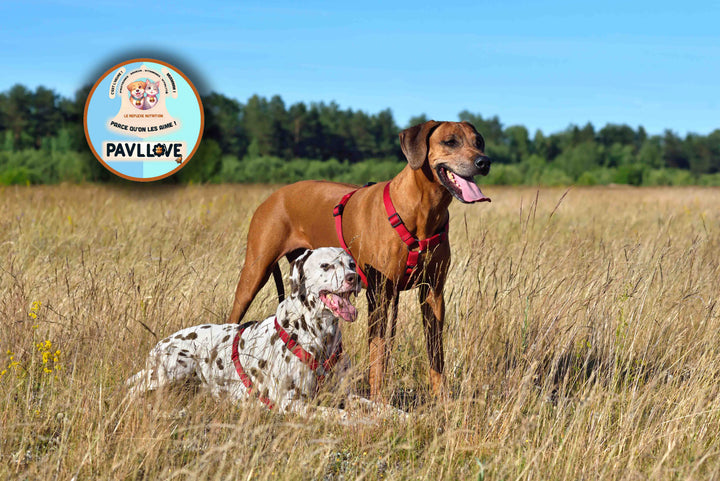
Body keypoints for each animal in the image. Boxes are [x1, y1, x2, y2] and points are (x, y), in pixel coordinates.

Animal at [126, 248, 362, 412]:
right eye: (326, 265)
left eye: (352, 264)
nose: (354, 277)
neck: (321, 336)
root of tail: (156, 349)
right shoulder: (291, 403)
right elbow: (343, 416)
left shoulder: (345, 394)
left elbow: (367, 406)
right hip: (178, 366)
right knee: (132, 394)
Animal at [228, 120, 492, 398]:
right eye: (450, 141)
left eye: (479, 142)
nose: (484, 162)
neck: (422, 213)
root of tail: (273, 196)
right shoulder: (378, 295)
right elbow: (378, 353)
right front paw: (378, 399)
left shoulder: (433, 292)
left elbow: (435, 350)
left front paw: (442, 399)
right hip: (254, 273)